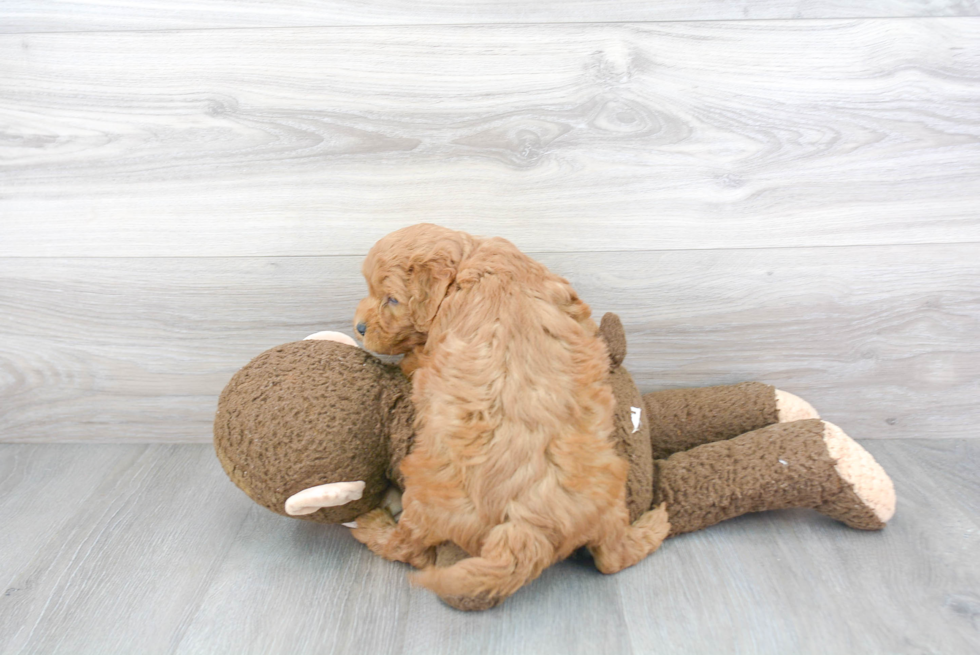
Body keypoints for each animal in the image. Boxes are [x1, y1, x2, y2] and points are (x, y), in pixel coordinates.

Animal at [350, 226, 668, 608]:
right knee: (613, 558)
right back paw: (655, 525)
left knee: (408, 547)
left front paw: (408, 361)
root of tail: (526, 529)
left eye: (392, 299)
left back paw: (373, 526)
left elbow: (419, 357)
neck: (470, 264)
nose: (359, 327)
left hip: (425, 494)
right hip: (607, 499)